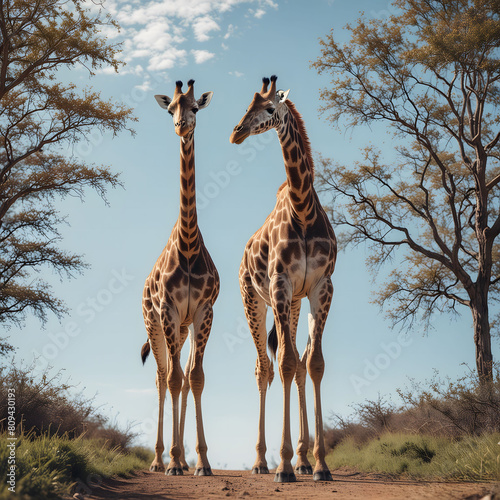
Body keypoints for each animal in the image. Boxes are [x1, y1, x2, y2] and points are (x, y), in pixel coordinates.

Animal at [229, 76, 338, 482]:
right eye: (247, 105)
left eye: (269, 108)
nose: (237, 132)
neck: (304, 210)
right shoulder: (279, 284)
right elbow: (286, 364)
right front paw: (285, 466)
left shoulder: (321, 286)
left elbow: (313, 363)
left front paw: (319, 464)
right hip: (253, 299)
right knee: (265, 368)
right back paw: (263, 461)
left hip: (291, 305)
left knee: (297, 364)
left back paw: (303, 460)